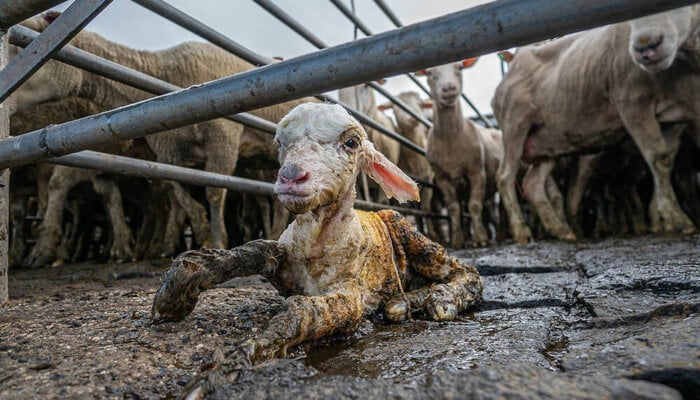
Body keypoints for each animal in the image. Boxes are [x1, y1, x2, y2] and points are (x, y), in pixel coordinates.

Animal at [152, 103, 482, 396]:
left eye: (351, 142)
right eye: (280, 143)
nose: (290, 176)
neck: (316, 242)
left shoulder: (351, 297)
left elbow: (301, 310)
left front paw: (228, 367)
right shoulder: (284, 262)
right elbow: (255, 250)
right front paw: (176, 290)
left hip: (409, 233)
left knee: (464, 271)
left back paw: (439, 298)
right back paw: (405, 301)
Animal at [418, 59, 506, 248]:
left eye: (459, 68)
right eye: (430, 73)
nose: (448, 88)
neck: (451, 138)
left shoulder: (477, 172)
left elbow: (474, 205)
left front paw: (480, 239)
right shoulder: (442, 177)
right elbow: (454, 208)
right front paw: (458, 239)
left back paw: (500, 234)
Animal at [492, 6, 700, 242]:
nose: (646, 47)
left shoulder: (679, 118)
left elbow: (665, 161)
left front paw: (663, 218)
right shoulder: (632, 104)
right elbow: (658, 159)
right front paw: (677, 220)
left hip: (545, 142)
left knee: (533, 184)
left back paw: (561, 229)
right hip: (514, 126)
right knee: (505, 177)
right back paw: (522, 231)